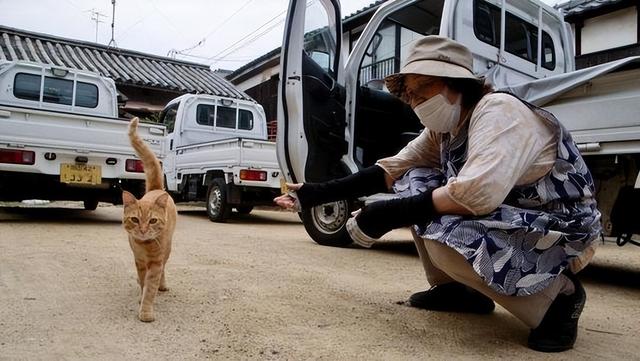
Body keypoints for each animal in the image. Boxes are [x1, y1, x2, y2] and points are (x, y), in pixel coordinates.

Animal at [122, 116, 176, 322]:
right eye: (135, 220)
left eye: (152, 221)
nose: (144, 230)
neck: (144, 246)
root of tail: (156, 188)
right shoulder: (138, 260)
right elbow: (143, 282)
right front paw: (141, 295)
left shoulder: (155, 263)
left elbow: (150, 286)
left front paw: (145, 310)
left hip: (168, 249)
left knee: (164, 269)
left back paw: (162, 284)